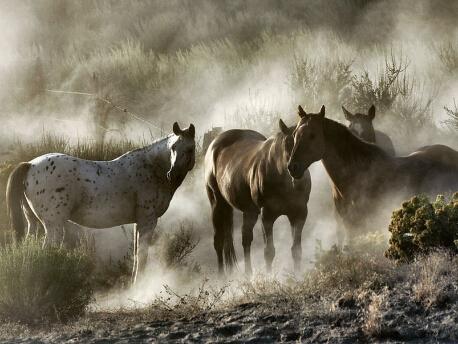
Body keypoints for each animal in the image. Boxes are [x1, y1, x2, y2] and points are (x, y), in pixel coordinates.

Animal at [5, 122, 195, 284]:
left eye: (190, 149)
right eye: (173, 148)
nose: (172, 174)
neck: (152, 168)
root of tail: (30, 164)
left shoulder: (139, 222)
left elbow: (136, 254)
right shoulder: (148, 220)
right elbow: (142, 255)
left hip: (33, 223)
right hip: (54, 227)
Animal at [204, 121, 312, 274]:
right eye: (288, 143)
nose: (294, 169)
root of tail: (214, 144)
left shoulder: (299, 214)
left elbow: (296, 250)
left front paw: (298, 276)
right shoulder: (267, 216)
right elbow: (269, 251)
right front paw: (270, 277)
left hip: (250, 211)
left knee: (245, 238)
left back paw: (248, 274)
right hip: (217, 204)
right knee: (219, 240)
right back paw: (222, 277)